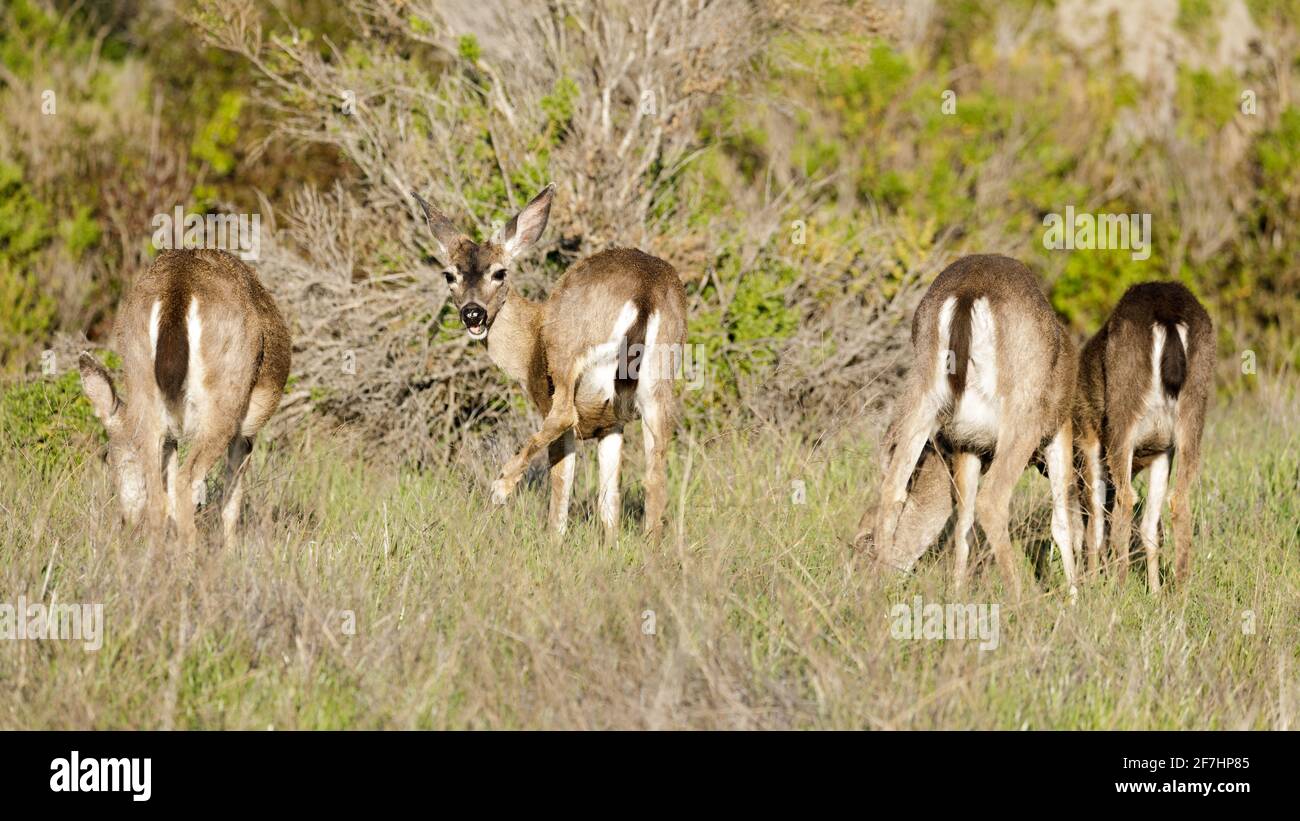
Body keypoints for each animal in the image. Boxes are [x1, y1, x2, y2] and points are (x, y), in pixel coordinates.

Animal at [78, 246, 289, 548]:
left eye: (107, 457)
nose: (127, 522)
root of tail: (177, 291)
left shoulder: (170, 437)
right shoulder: (247, 429)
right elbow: (231, 501)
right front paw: (231, 552)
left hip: (144, 392)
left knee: (160, 497)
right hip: (223, 403)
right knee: (186, 482)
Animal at [413, 183, 691, 537]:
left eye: (499, 272)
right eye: (450, 275)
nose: (473, 313)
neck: (530, 339)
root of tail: (645, 289)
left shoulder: (553, 400)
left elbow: (562, 481)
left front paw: (552, 540)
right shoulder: (611, 422)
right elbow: (609, 500)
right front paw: (612, 542)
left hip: (569, 354)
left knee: (564, 417)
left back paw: (501, 487)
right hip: (660, 378)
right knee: (656, 473)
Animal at [857, 253, 1081, 600]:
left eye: (863, 541)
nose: (859, 582)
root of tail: (967, 292)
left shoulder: (966, 444)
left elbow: (962, 523)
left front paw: (957, 593)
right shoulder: (1059, 425)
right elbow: (1061, 523)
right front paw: (1075, 600)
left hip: (925, 394)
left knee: (893, 487)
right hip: (1024, 415)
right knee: (993, 500)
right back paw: (1021, 601)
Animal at [1071, 281, 1211, 589]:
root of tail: (1167, 314)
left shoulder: (1088, 439)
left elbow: (1096, 523)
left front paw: (1094, 584)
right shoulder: (1162, 450)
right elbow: (1149, 528)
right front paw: (1154, 591)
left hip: (1122, 415)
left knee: (1124, 502)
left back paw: (1120, 587)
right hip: (1193, 413)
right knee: (1178, 501)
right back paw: (1179, 592)